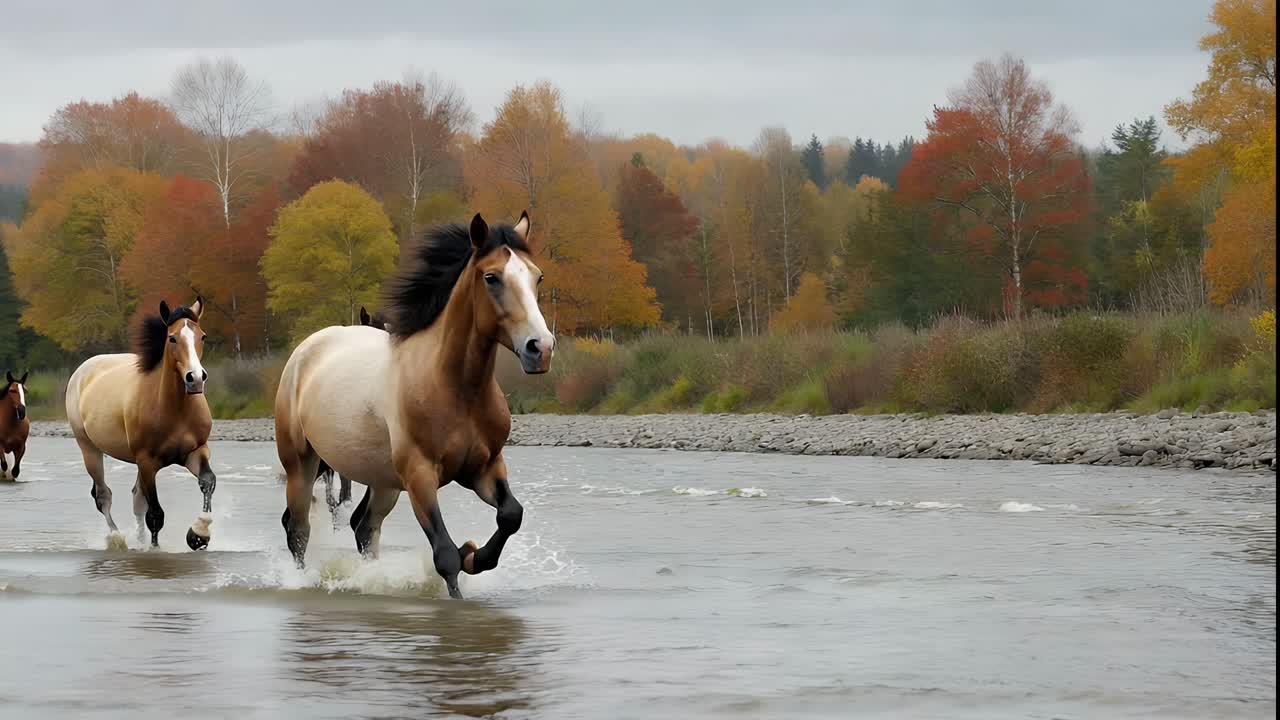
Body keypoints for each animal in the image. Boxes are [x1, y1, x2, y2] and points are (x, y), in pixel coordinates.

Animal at [65, 297, 218, 551]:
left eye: (202, 336)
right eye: (172, 338)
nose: (195, 378)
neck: (175, 410)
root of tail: (82, 370)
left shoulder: (195, 451)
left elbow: (208, 481)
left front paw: (199, 534)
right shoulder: (147, 462)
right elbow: (155, 514)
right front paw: (154, 550)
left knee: (136, 499)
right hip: (89, 449)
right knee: (103, 496)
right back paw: (117, 539)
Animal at [273, 211, 554, 599]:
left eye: (536, 276)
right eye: (492, 277)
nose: (540, 348)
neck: (454, 388)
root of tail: (304, 351)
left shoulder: (484, 467)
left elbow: (511, 515)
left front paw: (473, 555)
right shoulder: (420, 476)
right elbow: (445, 555)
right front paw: (460, 575)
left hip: (383, 481)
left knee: (363, 526)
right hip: (302, 464)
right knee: (298, 529)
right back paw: (302, 581)